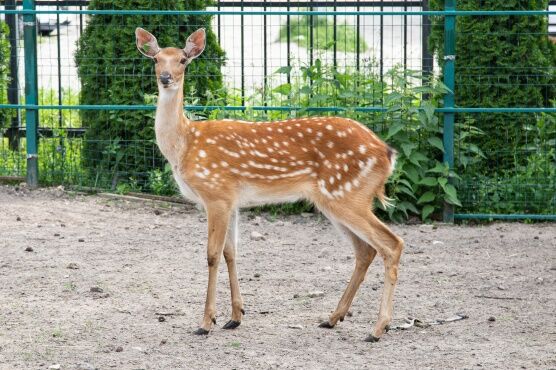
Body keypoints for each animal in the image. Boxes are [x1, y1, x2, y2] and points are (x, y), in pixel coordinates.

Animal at [135, 27, 404, 342]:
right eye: (156, 59)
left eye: (182, 60)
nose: (166, 78)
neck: (184, 144)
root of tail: (387, 153)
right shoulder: (231, 202)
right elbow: (230, 253)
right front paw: (235, 317)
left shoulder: (216, 194)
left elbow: (212, 255)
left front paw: (206, 322)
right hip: (335, 199)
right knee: (365, 250)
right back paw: (332, 318)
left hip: (347, 194)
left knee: (391, 244)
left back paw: (378, 327)